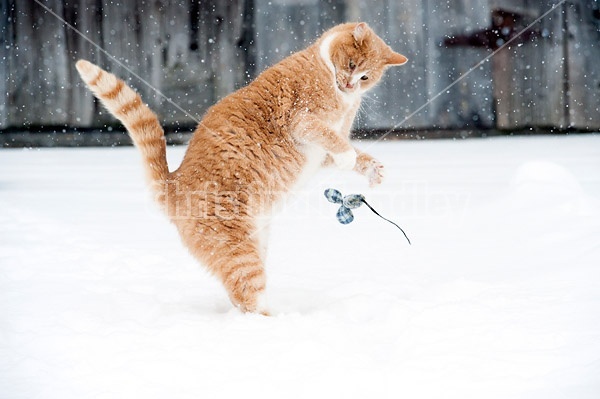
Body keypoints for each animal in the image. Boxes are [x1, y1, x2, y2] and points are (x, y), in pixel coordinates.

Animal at [74, 22, 404, 316]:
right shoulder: (303, 119)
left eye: (365, 77)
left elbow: (352, 152)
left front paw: (372, 169)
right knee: (248, 296)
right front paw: (349, 157)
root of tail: (172, 184)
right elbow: (335, 140)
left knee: (239, 297)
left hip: (257, 241)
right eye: (351, 64)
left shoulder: (323, 155)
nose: (349, 85)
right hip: (238, 250)